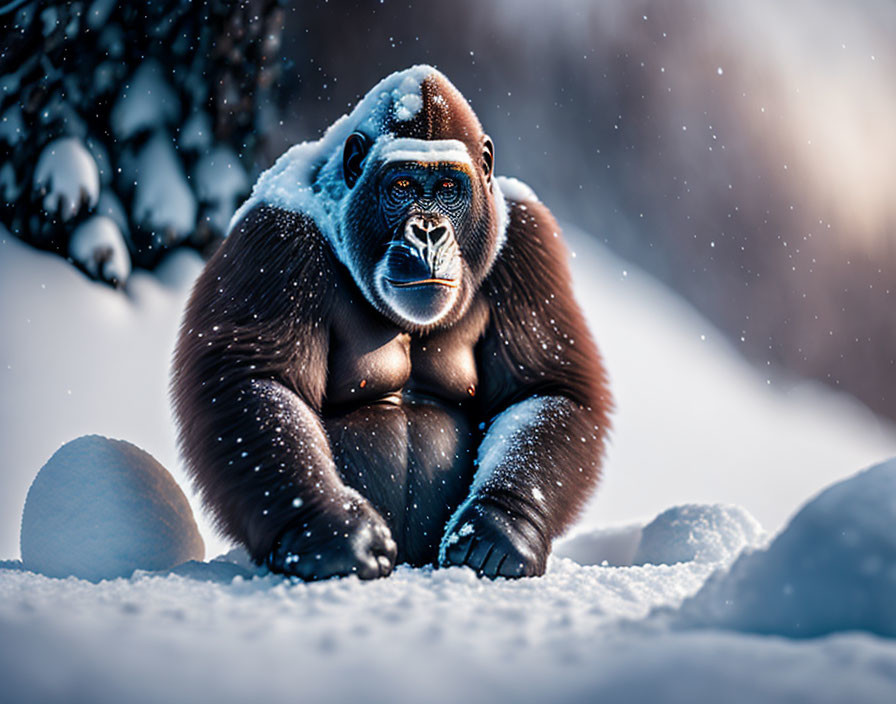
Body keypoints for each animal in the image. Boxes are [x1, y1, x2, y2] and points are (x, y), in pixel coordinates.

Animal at [172, 64, 612, 576]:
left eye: (448, 190)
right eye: (402, 188)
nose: (428, 232)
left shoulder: (527, 236)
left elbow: (543, 390)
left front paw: (501, 525)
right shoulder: (275, 235)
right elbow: (254, 379)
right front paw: (332, 527)